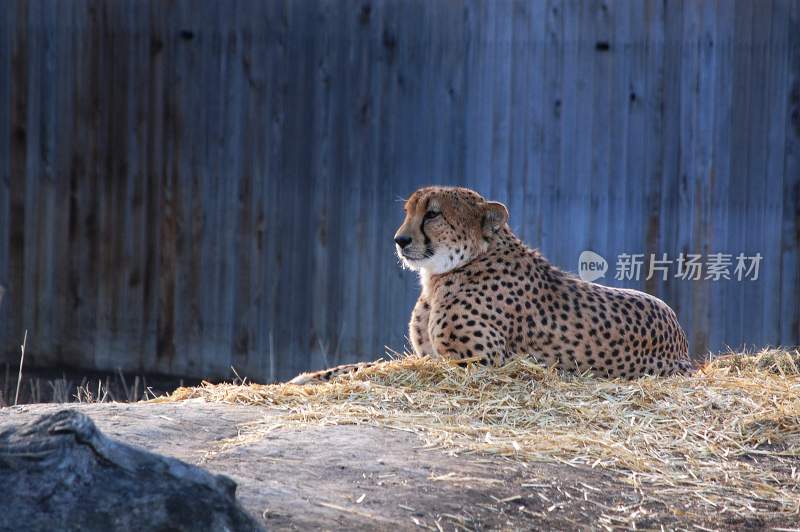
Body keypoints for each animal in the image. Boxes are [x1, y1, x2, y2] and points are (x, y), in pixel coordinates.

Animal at [290, 185, 692, 384]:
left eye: (432, 214)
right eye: (408, 212)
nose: (399, 240)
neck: (442, 275)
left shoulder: (478, 363)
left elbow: (386, 368)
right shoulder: (432, 355)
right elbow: (368, 362)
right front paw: (311, 376)